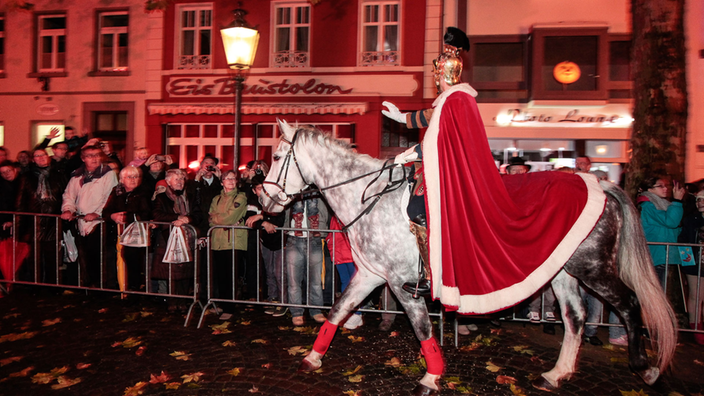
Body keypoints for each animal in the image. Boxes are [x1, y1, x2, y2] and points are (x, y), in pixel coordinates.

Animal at [258, 120, 676, 392]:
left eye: (277, 155)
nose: (264, 201)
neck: (370, 196)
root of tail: (601, 183)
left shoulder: (402, 283)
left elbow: (423, 329)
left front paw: (432, 376)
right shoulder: (371, 275)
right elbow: (337, 311)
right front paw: (313, 357)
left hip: (593, 267)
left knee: (629, 303)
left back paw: (646, 369)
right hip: (563, 271)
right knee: (576, 317)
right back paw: (556, 375)